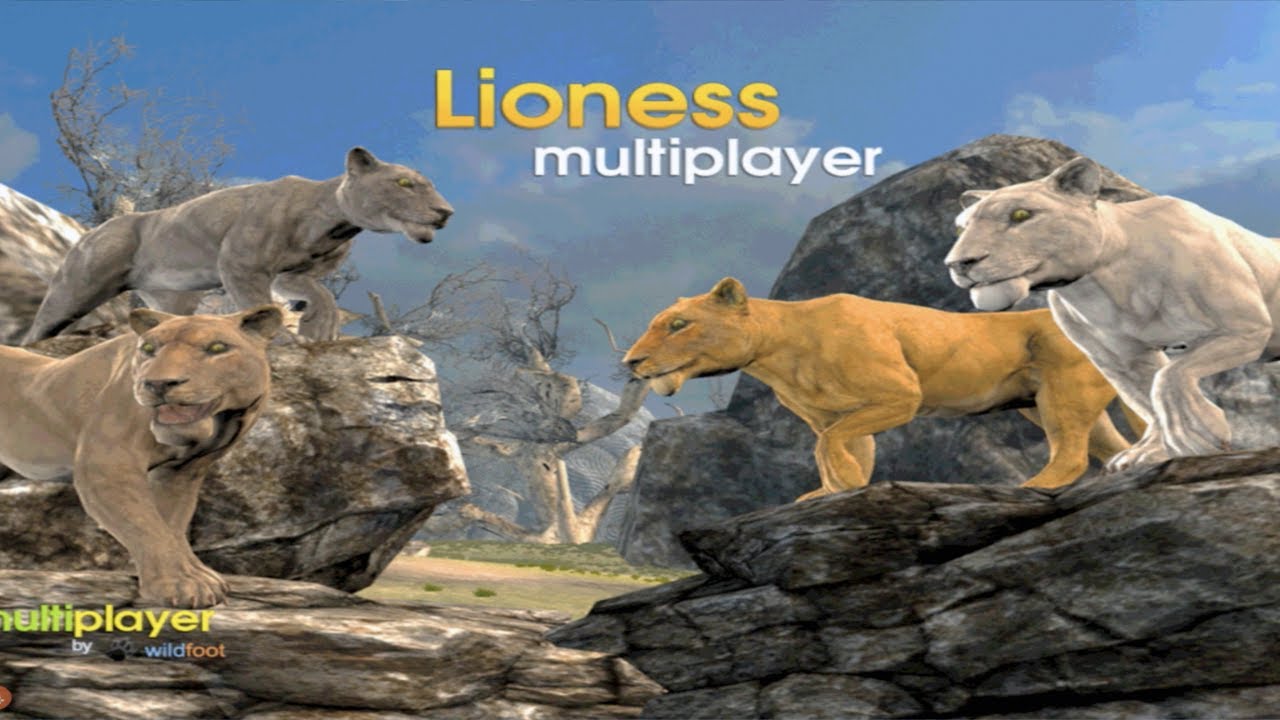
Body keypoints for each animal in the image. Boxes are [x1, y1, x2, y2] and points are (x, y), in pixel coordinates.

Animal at [0, 306, 283, 607]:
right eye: (148, 348)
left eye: (217, 347)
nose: (158, 383)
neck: (221, 420)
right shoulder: (106, 466)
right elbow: (145, 526)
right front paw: (181, 585)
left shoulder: (181, 472)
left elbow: (171, 523)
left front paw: (197, 575)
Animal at [23, 147, 452, 344]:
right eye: (404, 183)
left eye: (427, 183)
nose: (445, 211)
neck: (334, 223)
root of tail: (91, 231)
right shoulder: (243, 266)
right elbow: (261, 305)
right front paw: (286, 338)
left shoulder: (291, 273)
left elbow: (319, 294)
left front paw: (318, 327)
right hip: (76, 289)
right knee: (38, 330)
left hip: (175, 296)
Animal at [623, 278, 1143, 500]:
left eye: (678, 324)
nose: (631, 361)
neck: (778, 350)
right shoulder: (838, 416)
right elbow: (835, 446)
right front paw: (830, 491)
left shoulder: (900, 395)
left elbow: (829, 446)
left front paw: (845, 483)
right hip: (1055, 404)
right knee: (1108, 444)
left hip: (1063, 396)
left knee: (1071, 453)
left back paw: (1030, 487)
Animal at [944, 157, 1280, 471]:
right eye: (961, 227)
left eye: (1020, 215)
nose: (959, 263)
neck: (1103, 283)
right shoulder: (1120, 360)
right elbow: (1145, 397)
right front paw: (1149, 451)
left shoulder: (1245, 328)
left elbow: (1169, 376)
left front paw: (1197, 433)